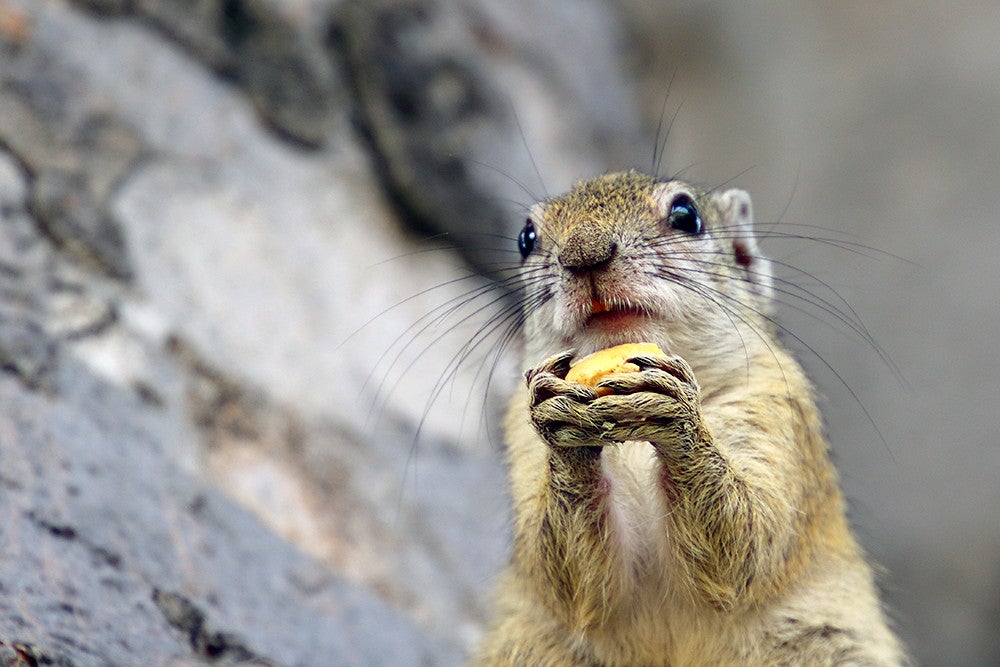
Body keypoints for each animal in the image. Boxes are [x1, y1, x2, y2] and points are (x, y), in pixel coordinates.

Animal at [472, 171, 907, 665]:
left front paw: (674, 414)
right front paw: (563, 424)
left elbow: (747, 541)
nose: (584, 254)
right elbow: (575, 580)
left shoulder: (777, 416)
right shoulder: (521, 441)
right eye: (525, 239)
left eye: (687, 215)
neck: (630, 437)